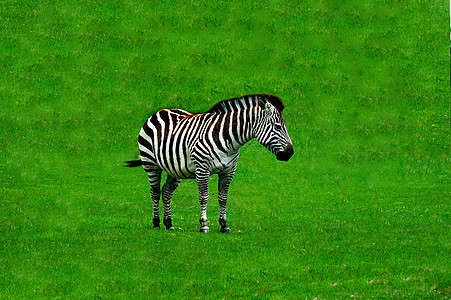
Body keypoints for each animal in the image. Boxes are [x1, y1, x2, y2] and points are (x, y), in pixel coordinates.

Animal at [125, 92, 294, 233]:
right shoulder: (202, 168)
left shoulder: (229, 171)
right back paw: (156, 222)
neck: (227, 138)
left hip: (174, 168)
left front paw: (224, 225)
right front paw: (204, 225)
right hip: (151, 164)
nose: (290, 153)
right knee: (155, 192)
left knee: (166, 192)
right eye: (278, 126)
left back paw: (169, 223)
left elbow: (223, 197)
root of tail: (160, 111)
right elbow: (204, 196)